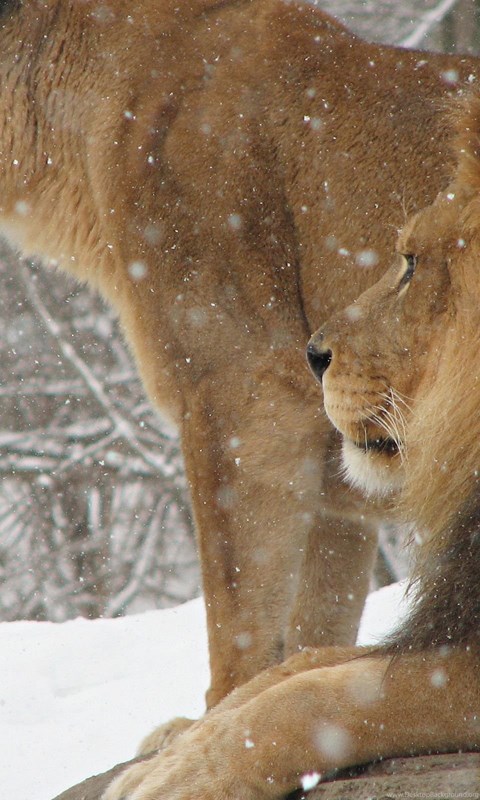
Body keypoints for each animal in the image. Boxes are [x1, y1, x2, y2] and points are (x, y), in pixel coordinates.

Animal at [103, 94, 480, 800]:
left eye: (412, 263)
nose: (313, 354)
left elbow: (319, 697)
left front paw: (180, 778)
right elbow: (299, 667)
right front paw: (169, 749)